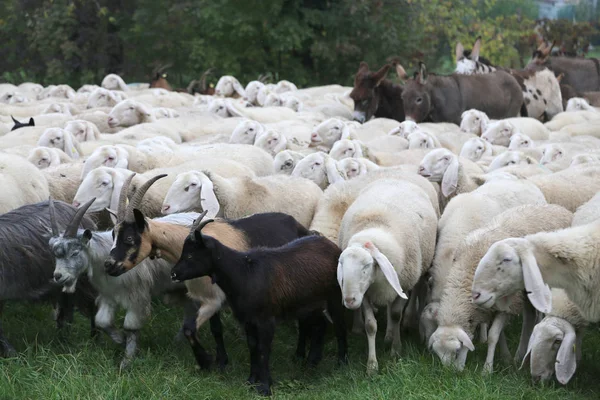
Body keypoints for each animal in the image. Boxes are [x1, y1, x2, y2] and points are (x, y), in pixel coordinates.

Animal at [171, 222, 350, 396]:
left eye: (190, 255)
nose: (173, 274)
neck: (244, 273)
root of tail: (330, 244)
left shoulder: (266, 319)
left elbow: (263, 350)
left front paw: (264, 387)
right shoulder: (248, 320)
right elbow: (253, 347)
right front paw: (251, 381)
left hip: (334, 296)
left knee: (340, 327)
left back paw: (341, 363)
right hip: (310, 303)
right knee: (319, 325)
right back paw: (311, 362)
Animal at [338, 180, 436, 374]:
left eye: (366, 266)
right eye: (342, 265)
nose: (350, 300)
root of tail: (397, 178)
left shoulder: (402, 285)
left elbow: (396, 314)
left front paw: (395, 350)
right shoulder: (366, 293)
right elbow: (370, 325)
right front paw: (372, 365)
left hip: (418, 269)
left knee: (415, 291)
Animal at [432, 205, 572, 374]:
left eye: (457, 350)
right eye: (437, 354)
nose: (449, 372)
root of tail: (558, 208)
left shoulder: (507, 305)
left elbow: (493, 335)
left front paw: (487, 369)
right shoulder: (492, 308)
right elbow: (499, 336)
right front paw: (505, 356)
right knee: (530, 315)